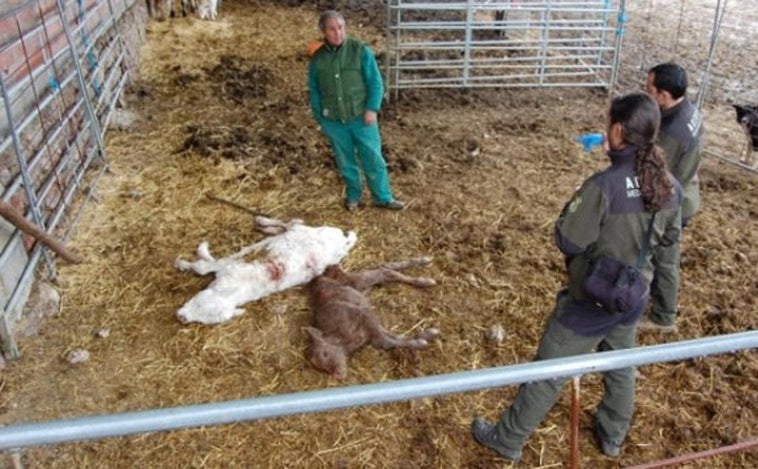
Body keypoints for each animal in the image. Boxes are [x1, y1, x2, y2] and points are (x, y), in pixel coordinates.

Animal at [175, 217, 360, 324]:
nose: (181, 317)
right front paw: (194, 255)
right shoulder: (227, 265)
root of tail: (342, 241)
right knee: (290, 225)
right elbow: (207, 265)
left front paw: (185, 260)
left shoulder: (226, 266)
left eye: (204, 319)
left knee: (291, 224)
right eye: (198, 301)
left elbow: (202, 267)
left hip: (305, 233)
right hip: (306, 232)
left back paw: (264, 224)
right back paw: (264, 225)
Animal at [306, 258, 442, 378]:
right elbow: (388, 339)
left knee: (384, 272)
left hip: (354, 281)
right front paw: (424, 337)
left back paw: (425, 280)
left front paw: (424, 339)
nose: (338, 375)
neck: (341, 339)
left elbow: (387, 340)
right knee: (383, 268)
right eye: (321, 369)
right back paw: (424, 264)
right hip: (358, 284)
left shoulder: (363, 315)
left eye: (325, 354)